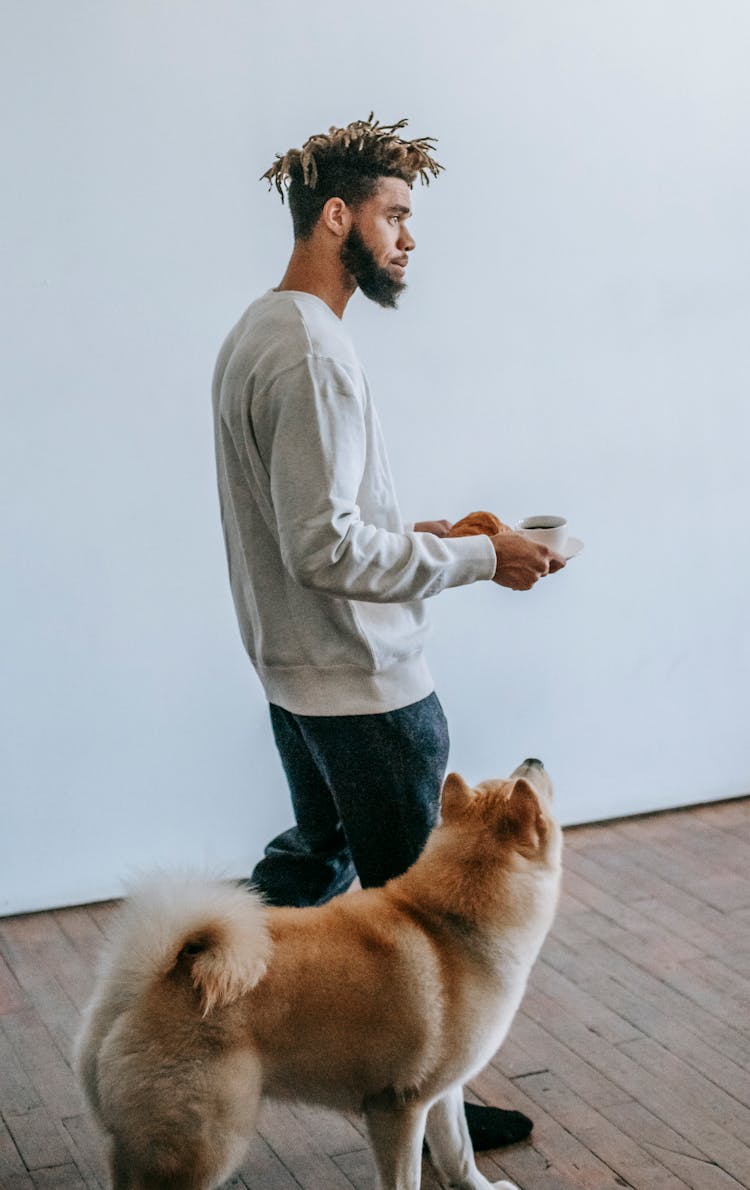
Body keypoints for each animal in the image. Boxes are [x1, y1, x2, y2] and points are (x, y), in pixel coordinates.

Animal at [76, 761, 564, 1190]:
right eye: (523, 782)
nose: (535, 759)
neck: (450, 924)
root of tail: (145, 984)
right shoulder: (397, 1108)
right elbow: (404, 1179)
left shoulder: (440, 1095)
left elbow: (458, 1154)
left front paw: (480, 1186)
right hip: (207, 1143)